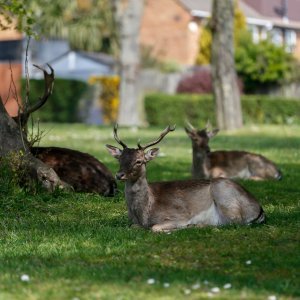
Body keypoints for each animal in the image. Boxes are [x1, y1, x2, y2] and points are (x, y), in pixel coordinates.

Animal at [105, 124, 264, 232]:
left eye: (139, 161)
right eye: (119, 159)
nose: (119, 175)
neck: (144, 214)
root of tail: (259, 209)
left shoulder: (179, 215)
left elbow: (155, 227)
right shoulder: (133, 223)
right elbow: (132, 227)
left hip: (224, 195)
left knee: (234, 222)